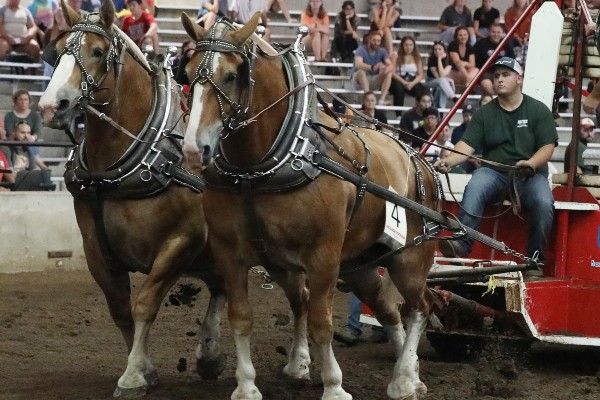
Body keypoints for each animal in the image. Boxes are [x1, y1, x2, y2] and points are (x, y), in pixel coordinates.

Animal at [38, 0, 227, 396]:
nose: (50, 106)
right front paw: (144, 369)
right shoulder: (96, 249)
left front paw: (133, 376)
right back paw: (210, 355)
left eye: (98, 52)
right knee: (222, 286)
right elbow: (120, 310)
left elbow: (144, 304)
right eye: (57, 50)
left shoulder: (182, 241)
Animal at [180, 12, 438, 400]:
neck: (260, 169)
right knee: (387, 309)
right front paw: (247, 385)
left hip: (409, 256)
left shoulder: (324, 256)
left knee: (418, 308)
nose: (194, 151)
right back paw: (407, 373)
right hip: (356, 262)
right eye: (187, 71)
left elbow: (321, 324)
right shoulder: (230, 252)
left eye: (231, 75)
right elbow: (241, 318)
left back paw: (405, 377)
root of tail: (416, 157)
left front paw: (334, 386)